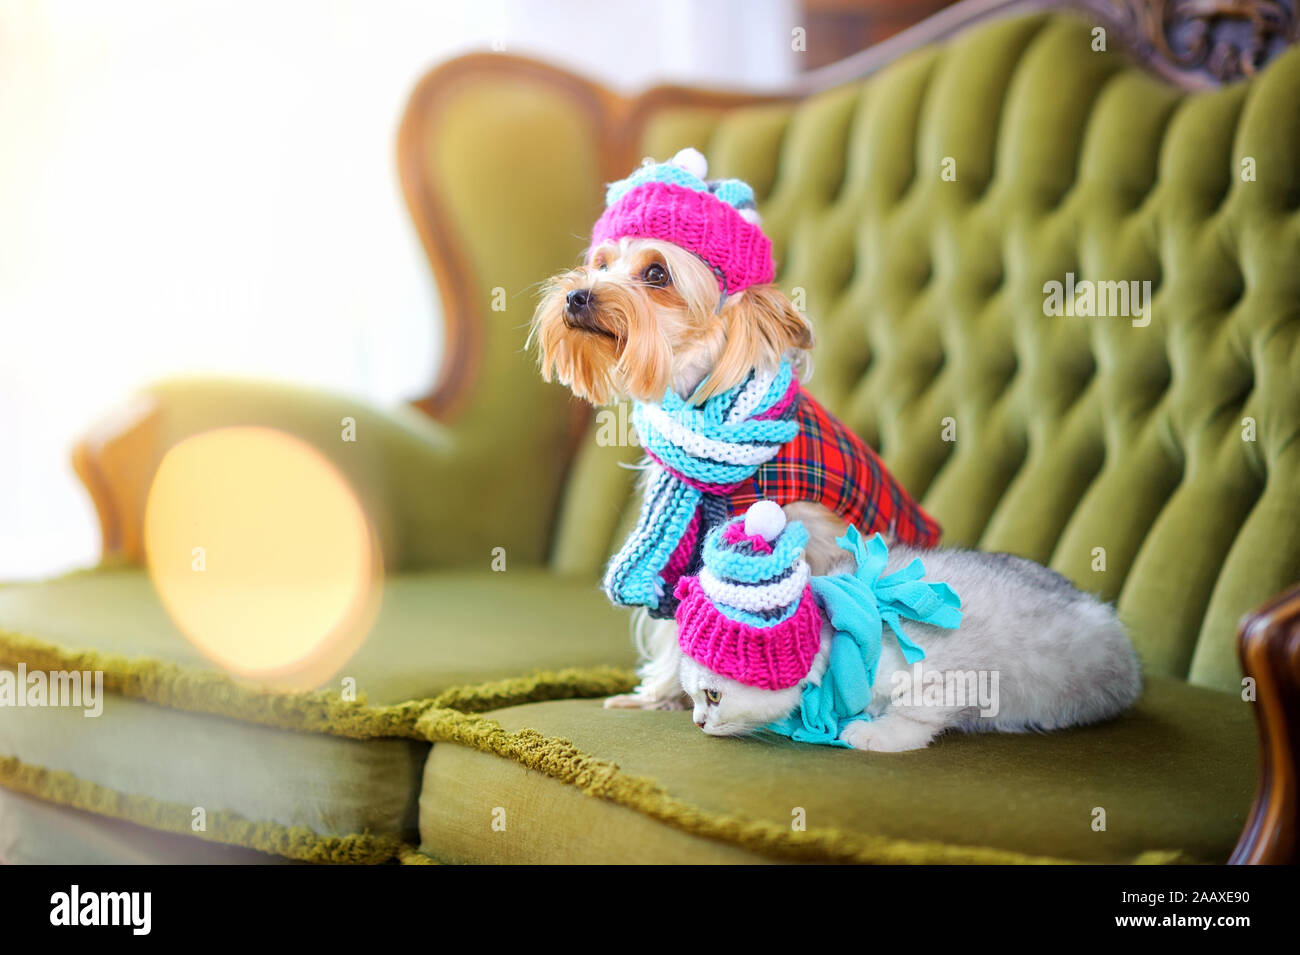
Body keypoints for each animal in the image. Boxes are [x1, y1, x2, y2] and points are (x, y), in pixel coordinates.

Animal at [681, 548, 1138, 748]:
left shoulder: (961, 672)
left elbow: (916, 710)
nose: (697, 723)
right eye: (693, 698)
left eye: (714, 695)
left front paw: (876, 732)